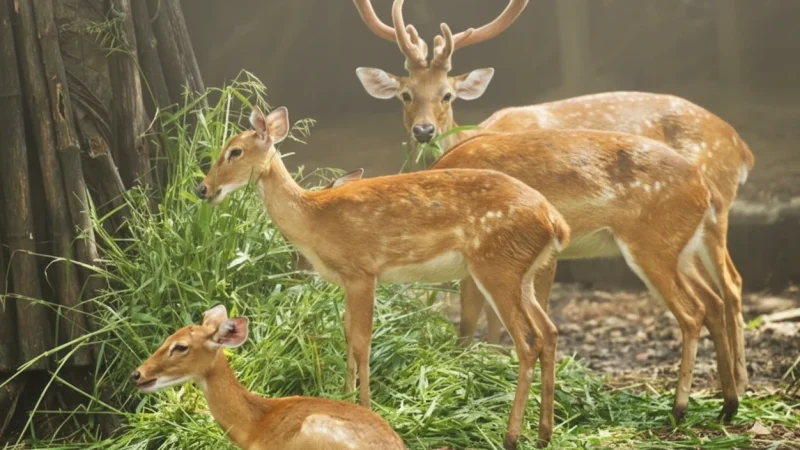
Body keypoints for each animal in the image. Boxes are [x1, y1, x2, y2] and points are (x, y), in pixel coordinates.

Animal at [195, 106, 571, 448]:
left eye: (234, 151)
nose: (202, 189)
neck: (313, 218)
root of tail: (555, 221)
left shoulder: (363, 270)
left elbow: (362, 342)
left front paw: (365, 404)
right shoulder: (349, 280)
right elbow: (348, 336)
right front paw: (345, 397)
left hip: (497, 266)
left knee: (529, 339)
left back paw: (511, 436)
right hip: (522, 274)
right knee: (550, 332)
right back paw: (544, 434)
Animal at [353, 0, 754, 394]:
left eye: (446, 95)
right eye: (406, 94)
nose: (424, 131)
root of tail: (741, 147)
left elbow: (487, 315)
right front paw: (490, 362)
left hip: (713, 216)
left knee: (730, 285)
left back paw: (737, 382)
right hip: (688, 241)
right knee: (714, 296)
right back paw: (727, 388)